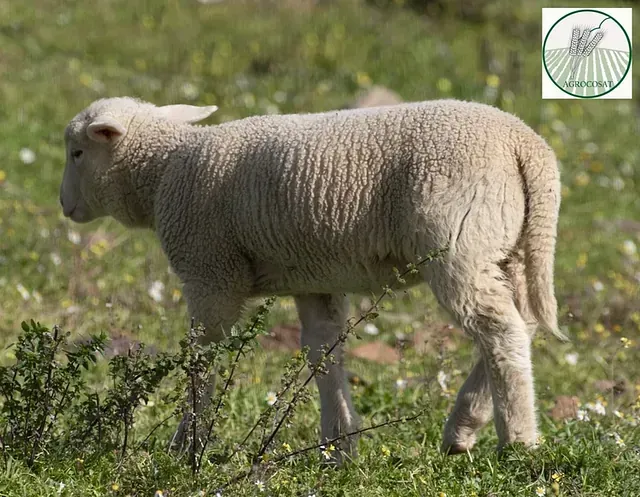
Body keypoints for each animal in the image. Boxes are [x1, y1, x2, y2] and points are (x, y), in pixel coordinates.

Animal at [60, 96, 564, 458]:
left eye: (77, 152)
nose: (64, 206)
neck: (164, 169)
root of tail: (526, 145)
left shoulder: (211, 271)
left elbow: (203, 356)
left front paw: (186, 446)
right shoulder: (312, 279)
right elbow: (324, 353)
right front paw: (339, 447)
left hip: (460, 242)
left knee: (499, 330)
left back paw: (517, 442)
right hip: (508, 245)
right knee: (522, 323)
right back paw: (465, 427)